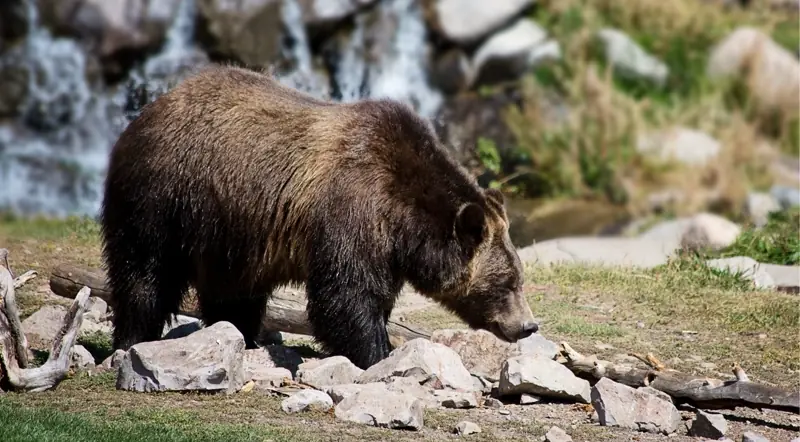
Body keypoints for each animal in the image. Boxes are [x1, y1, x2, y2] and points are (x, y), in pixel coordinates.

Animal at [100, 64, 538, 370]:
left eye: (519, 277)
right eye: (508, 282)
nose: (528, 326)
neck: (404, 219)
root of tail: (150, 109)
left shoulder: (386, 248)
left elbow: (371, 296)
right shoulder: (352, 210)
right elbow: (345, 296)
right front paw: (377, 353)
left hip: (229, 229)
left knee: (233, 291)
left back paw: (242, 336)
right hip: (165, 196)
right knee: (145, 272)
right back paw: (133, 338)